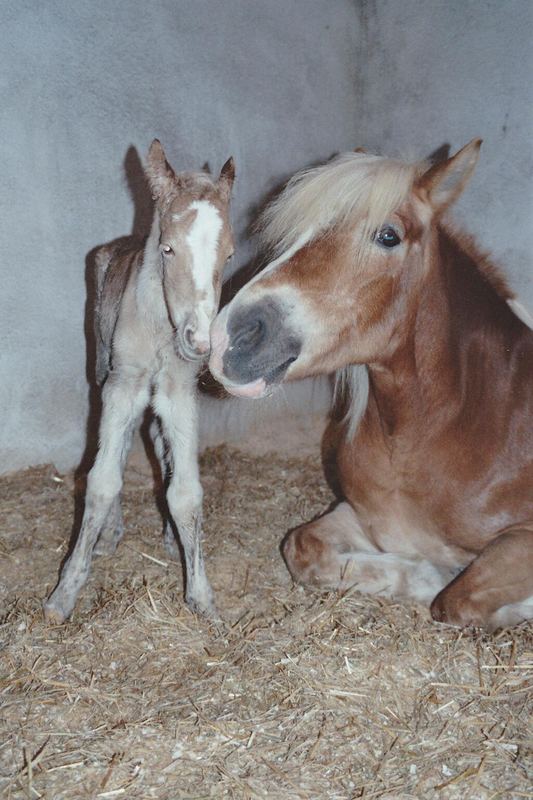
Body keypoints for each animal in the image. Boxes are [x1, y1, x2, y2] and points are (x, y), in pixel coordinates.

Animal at [44, 141, 236, 620]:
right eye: (167, 249)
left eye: (229, 255)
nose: (200, 342)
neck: (158, 324)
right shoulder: (123, 385)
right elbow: (100, 480)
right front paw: (64, 593)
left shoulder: (178, 392)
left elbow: (185, 491)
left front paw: (201, 596)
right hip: (102, 370)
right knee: (122, 440)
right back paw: (109, 535)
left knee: (158, 447)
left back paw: (168, 538)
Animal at [208, 142, 532, 632]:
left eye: (388, 236)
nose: (231, 336)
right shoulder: (356, 514)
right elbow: (301, 548)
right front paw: (426, 573)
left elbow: (457, 598)